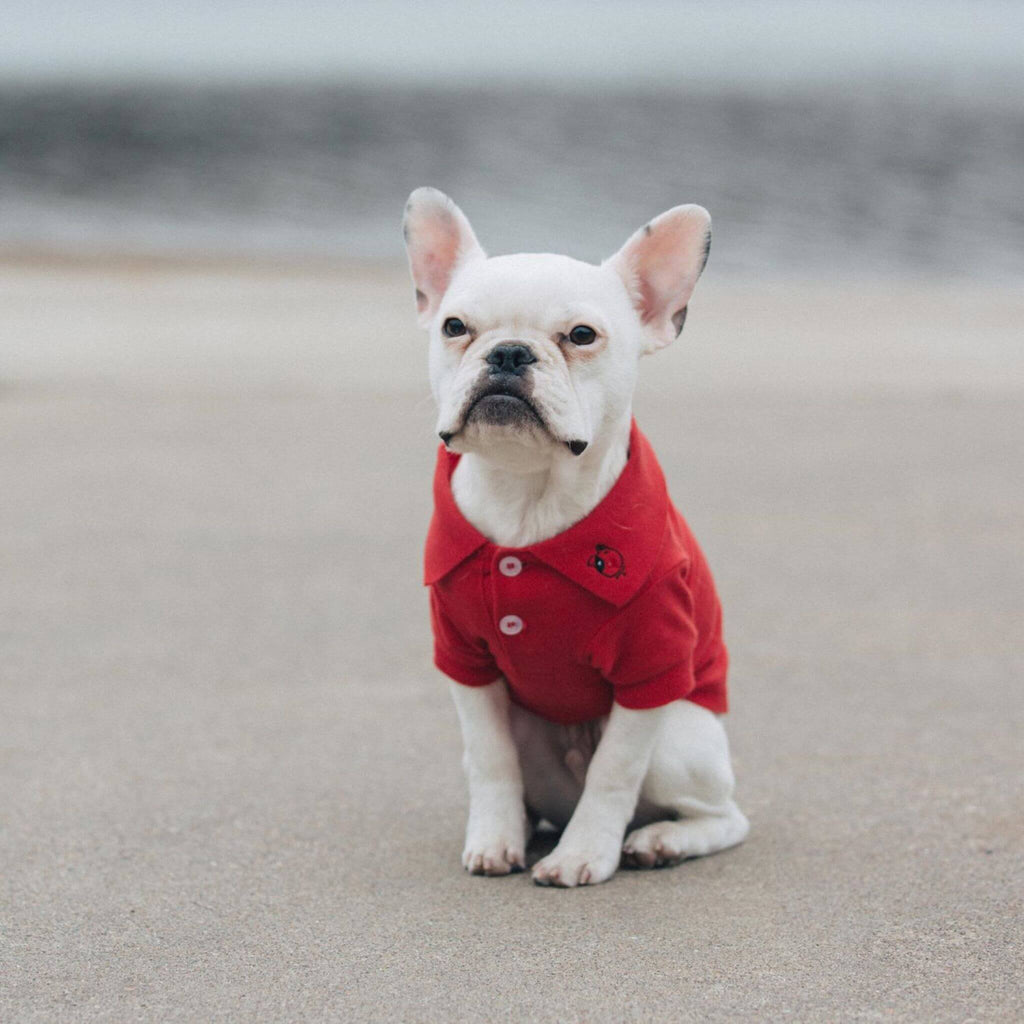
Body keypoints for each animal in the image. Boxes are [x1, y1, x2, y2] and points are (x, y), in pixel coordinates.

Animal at [403, 188, 749, 884]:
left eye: (582, 335)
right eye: (455, 327)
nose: (510, 352)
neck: (527, 494)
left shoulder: (651, 667)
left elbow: (614, 772)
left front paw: (585, 855)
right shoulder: (467, 663)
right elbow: (490, 759)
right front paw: (494, 839)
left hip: (680, 738)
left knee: (725, 817)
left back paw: (661, 841)